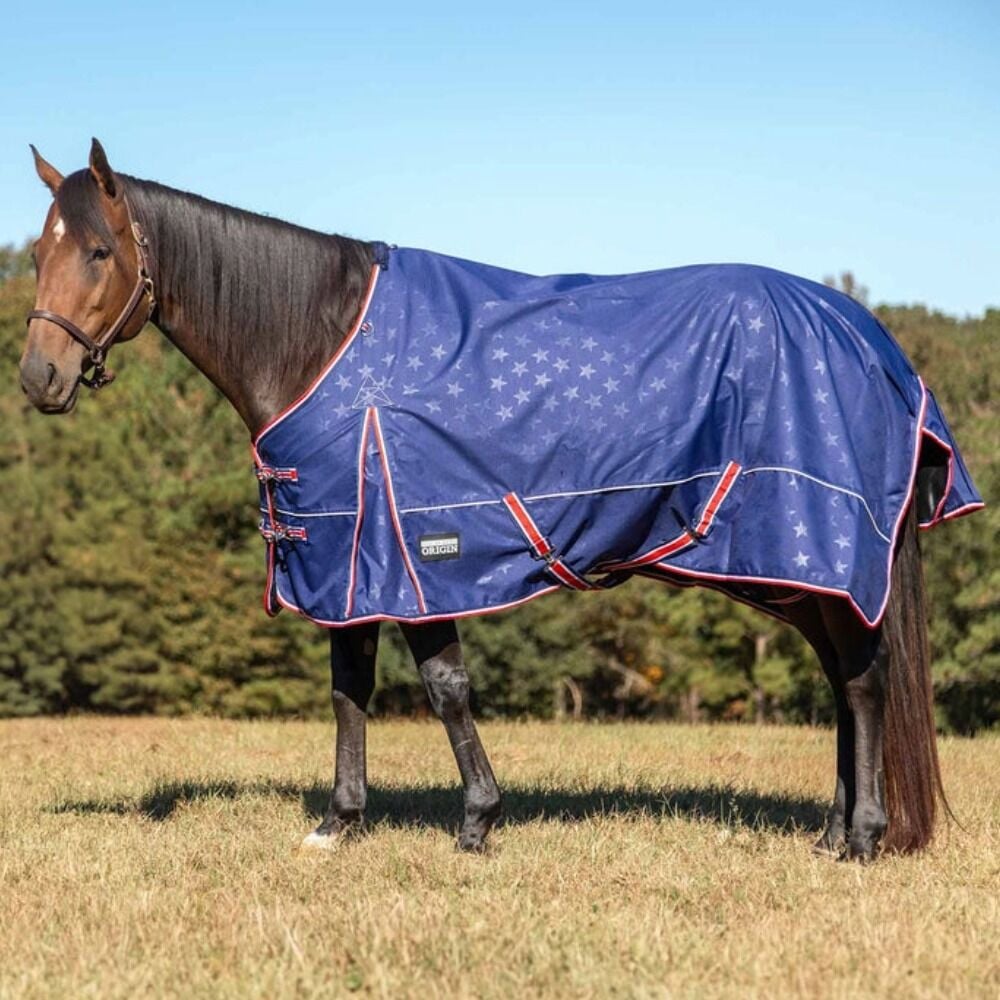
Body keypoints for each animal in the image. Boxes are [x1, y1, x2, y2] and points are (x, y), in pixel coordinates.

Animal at [19, 139, 981, 862]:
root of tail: (875, 345)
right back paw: (832, 832)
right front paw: (340, 823)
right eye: (37, 253)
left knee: (863, 680)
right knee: (843, 678)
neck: (323, 345)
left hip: (818, 550)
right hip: (799, 571)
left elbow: (444, 687)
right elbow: (348, 691)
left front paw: (477, 821)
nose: (38, 378)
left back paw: (863, 836)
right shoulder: (346, 563)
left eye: (100, 252)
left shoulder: (411, 553)